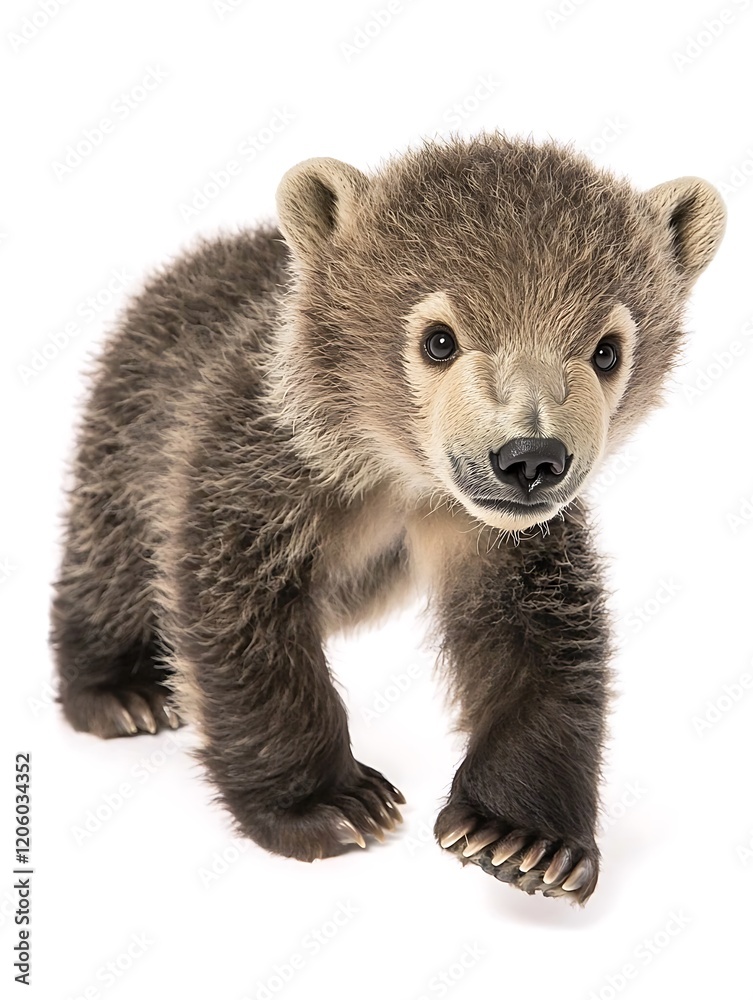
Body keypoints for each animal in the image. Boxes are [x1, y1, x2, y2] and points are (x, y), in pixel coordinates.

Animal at [51, 133, 725, 904]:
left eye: (607, 349)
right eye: (439, 339)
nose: (530, 458)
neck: (394, 472)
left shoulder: (493, 532)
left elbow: (541, 642)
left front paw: (523, 839)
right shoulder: (254, 462)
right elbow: (237, 614)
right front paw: (333, 803)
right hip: (133, 420)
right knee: (114, 551)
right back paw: (121, 690)